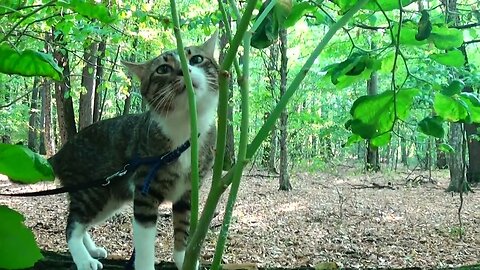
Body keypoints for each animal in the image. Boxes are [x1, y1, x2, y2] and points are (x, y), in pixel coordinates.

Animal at [47, 33, 218, 270]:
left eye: (197, 59)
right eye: (163, 69)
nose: (185, 70)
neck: (185, 128)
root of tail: (61, 153)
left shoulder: (188, 192)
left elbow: (182, 229)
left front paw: (184, 260)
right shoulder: (146, 190)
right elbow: (145, 243)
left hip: (110, 198)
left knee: (82, 223)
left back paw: (91, 249)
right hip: (92, 191)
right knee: (72, 225)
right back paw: (84, 259)